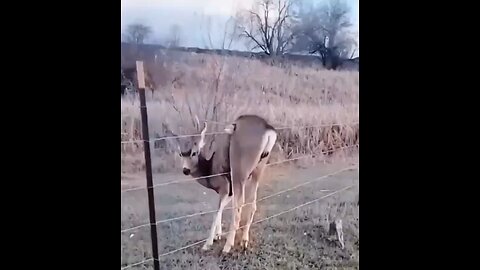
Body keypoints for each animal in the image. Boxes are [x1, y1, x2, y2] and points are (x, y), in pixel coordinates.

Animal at [166, 114, 276, 253]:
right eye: (181, 154)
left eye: (194, 152)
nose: (186, 170)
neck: (210, 171)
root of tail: (268, 130)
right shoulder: (229, 192)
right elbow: (221, 208)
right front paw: (217, 235)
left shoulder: (224, 186)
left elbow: (216, 211)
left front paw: (208, 243)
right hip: (259, 169)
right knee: (252, 204)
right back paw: (244, 241)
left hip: (239, 169)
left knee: (239, 206)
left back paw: (228, 246)